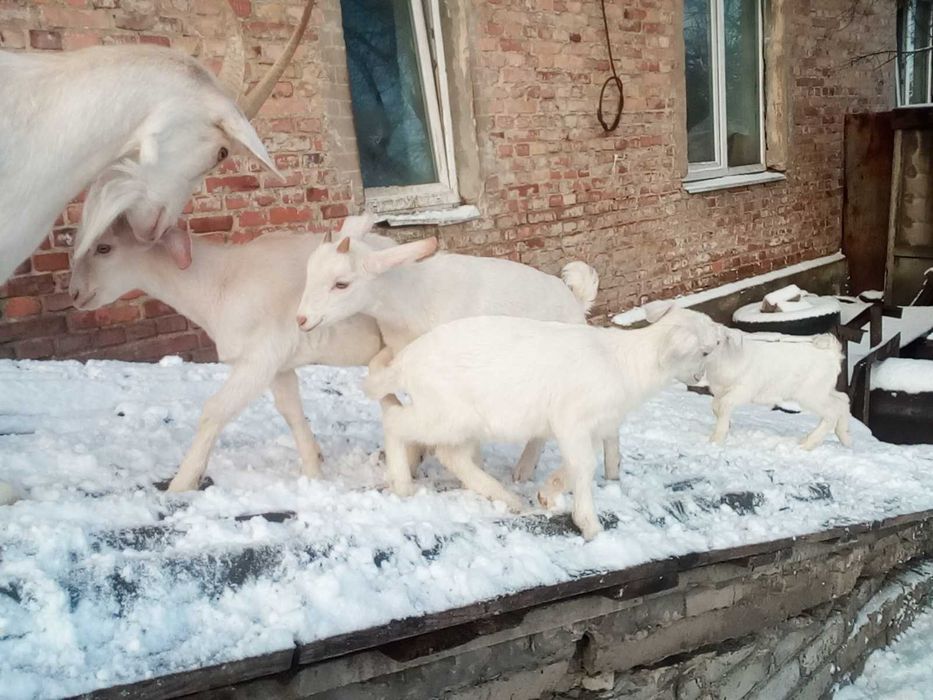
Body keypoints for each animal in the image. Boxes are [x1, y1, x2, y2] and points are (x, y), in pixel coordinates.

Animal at [68, 215, 391, 491]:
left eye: (104, 247)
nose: (74, 294)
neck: (223, 281)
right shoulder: (279, 366)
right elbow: (292, 413)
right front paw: (314, 475)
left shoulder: (258, 358)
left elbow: (214, 410)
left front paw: (181, 484)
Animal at [295, 234, 618, 497]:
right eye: (308, 275)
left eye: (341, 283)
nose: (302, 319)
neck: (412, 298)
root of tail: (576, 300)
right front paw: (413, 461)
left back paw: (605, 470)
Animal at [364, 302, 726, 539]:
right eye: (706, 352)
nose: (700, 378)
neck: (627, 364)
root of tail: (405, 362)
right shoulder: (572, 419)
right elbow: (585, 465)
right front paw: (590, 525)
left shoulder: (591, 427)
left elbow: (578, 464)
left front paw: (547, 495)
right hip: (446, 415)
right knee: (396, 422)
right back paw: (403, 484)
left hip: (464, 424)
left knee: (452, 455)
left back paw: (510, 500)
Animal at [704, 328, 852, 449]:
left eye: (718, 341)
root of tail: (832, 353)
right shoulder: (720, 392)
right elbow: (715, 407)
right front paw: (727, 427)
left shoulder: (743, 390)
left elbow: (723, 405)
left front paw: (715, 440)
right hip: (824, 391)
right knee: (843, 400)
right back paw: (844, 438)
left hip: (812, 395)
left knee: (832, 412)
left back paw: (806, 445)